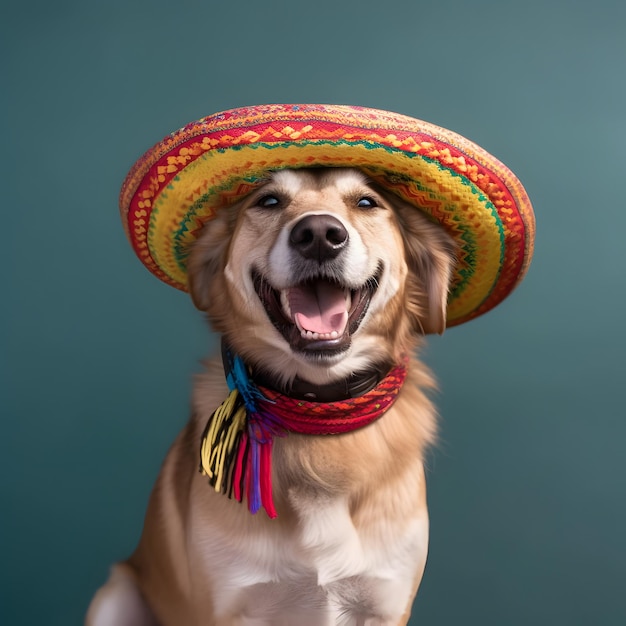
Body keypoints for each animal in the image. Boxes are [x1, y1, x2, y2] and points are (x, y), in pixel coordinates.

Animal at [86, 167, 454, 624]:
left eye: (367, 202)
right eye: (269, 201)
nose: (319, 234)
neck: (319, 418)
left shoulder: (384, 604)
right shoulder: (228, 606)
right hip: (115, 594)